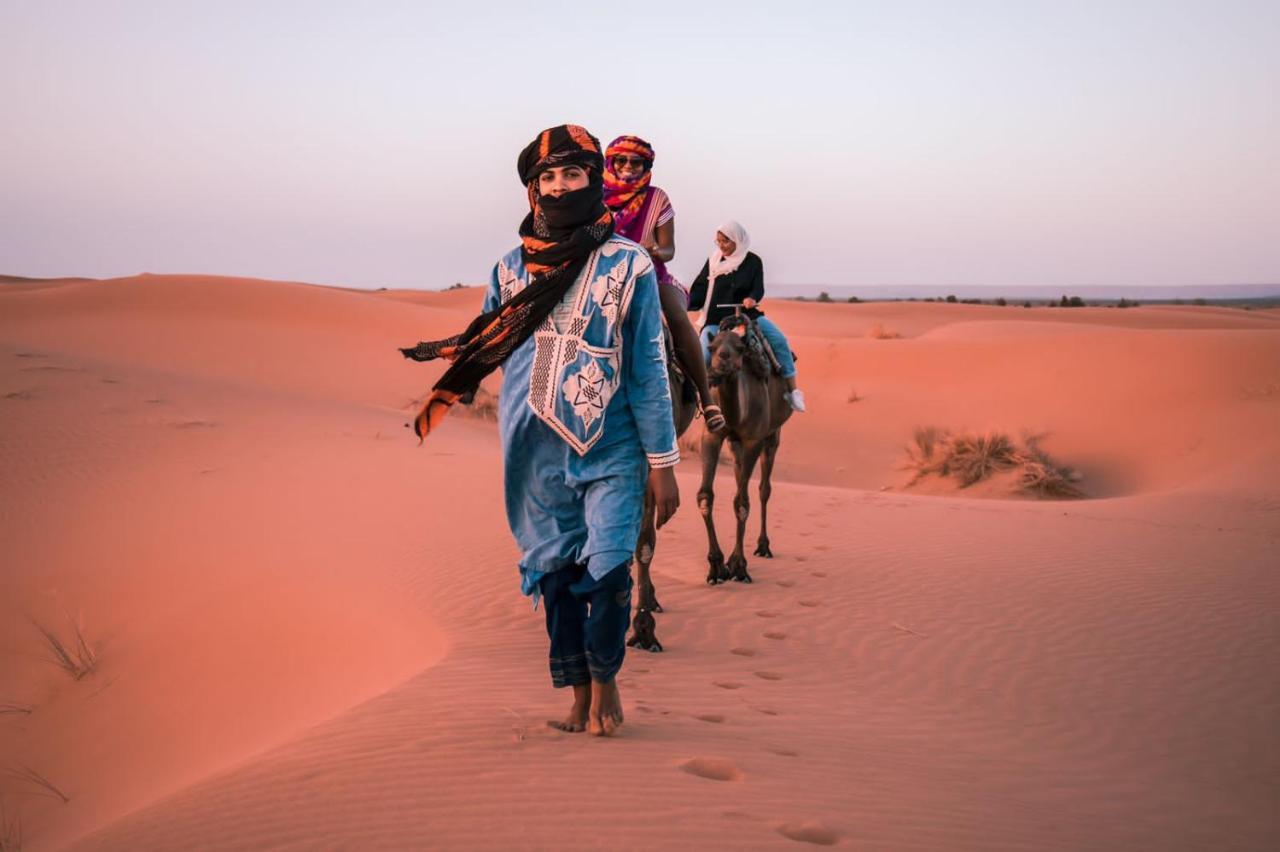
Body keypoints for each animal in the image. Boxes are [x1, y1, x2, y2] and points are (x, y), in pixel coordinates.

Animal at [701, 312, 788, 583]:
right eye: (711, 347)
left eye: (739, 349)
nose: (720, 364)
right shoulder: (713, 436)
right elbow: (706, 495)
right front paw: (717, 565)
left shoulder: (753, 440)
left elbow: (742, 503)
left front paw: (739, 566)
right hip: (734, 443)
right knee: (741, 477)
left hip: (772, 435)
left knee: (762, 489)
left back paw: (763, 546)